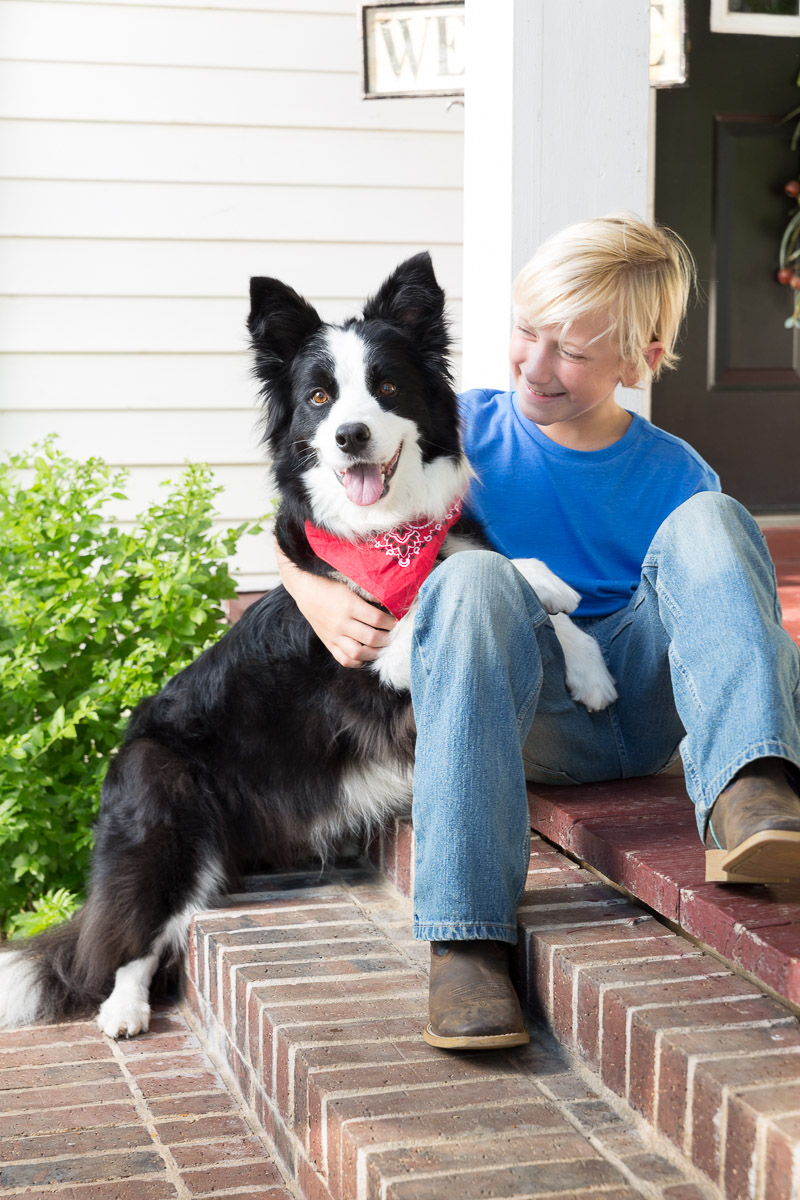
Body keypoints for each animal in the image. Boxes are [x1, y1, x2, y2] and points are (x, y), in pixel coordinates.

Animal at [0, 255, 618, 1041]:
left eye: (387, 386)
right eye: (320, 397)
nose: (350, 435)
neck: (383, 533)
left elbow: (477, 564)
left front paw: (589, 662)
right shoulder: (370, 659)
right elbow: (468, 575)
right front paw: (546, 584)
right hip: (166, 824)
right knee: (126, 936)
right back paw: (123, 1009)